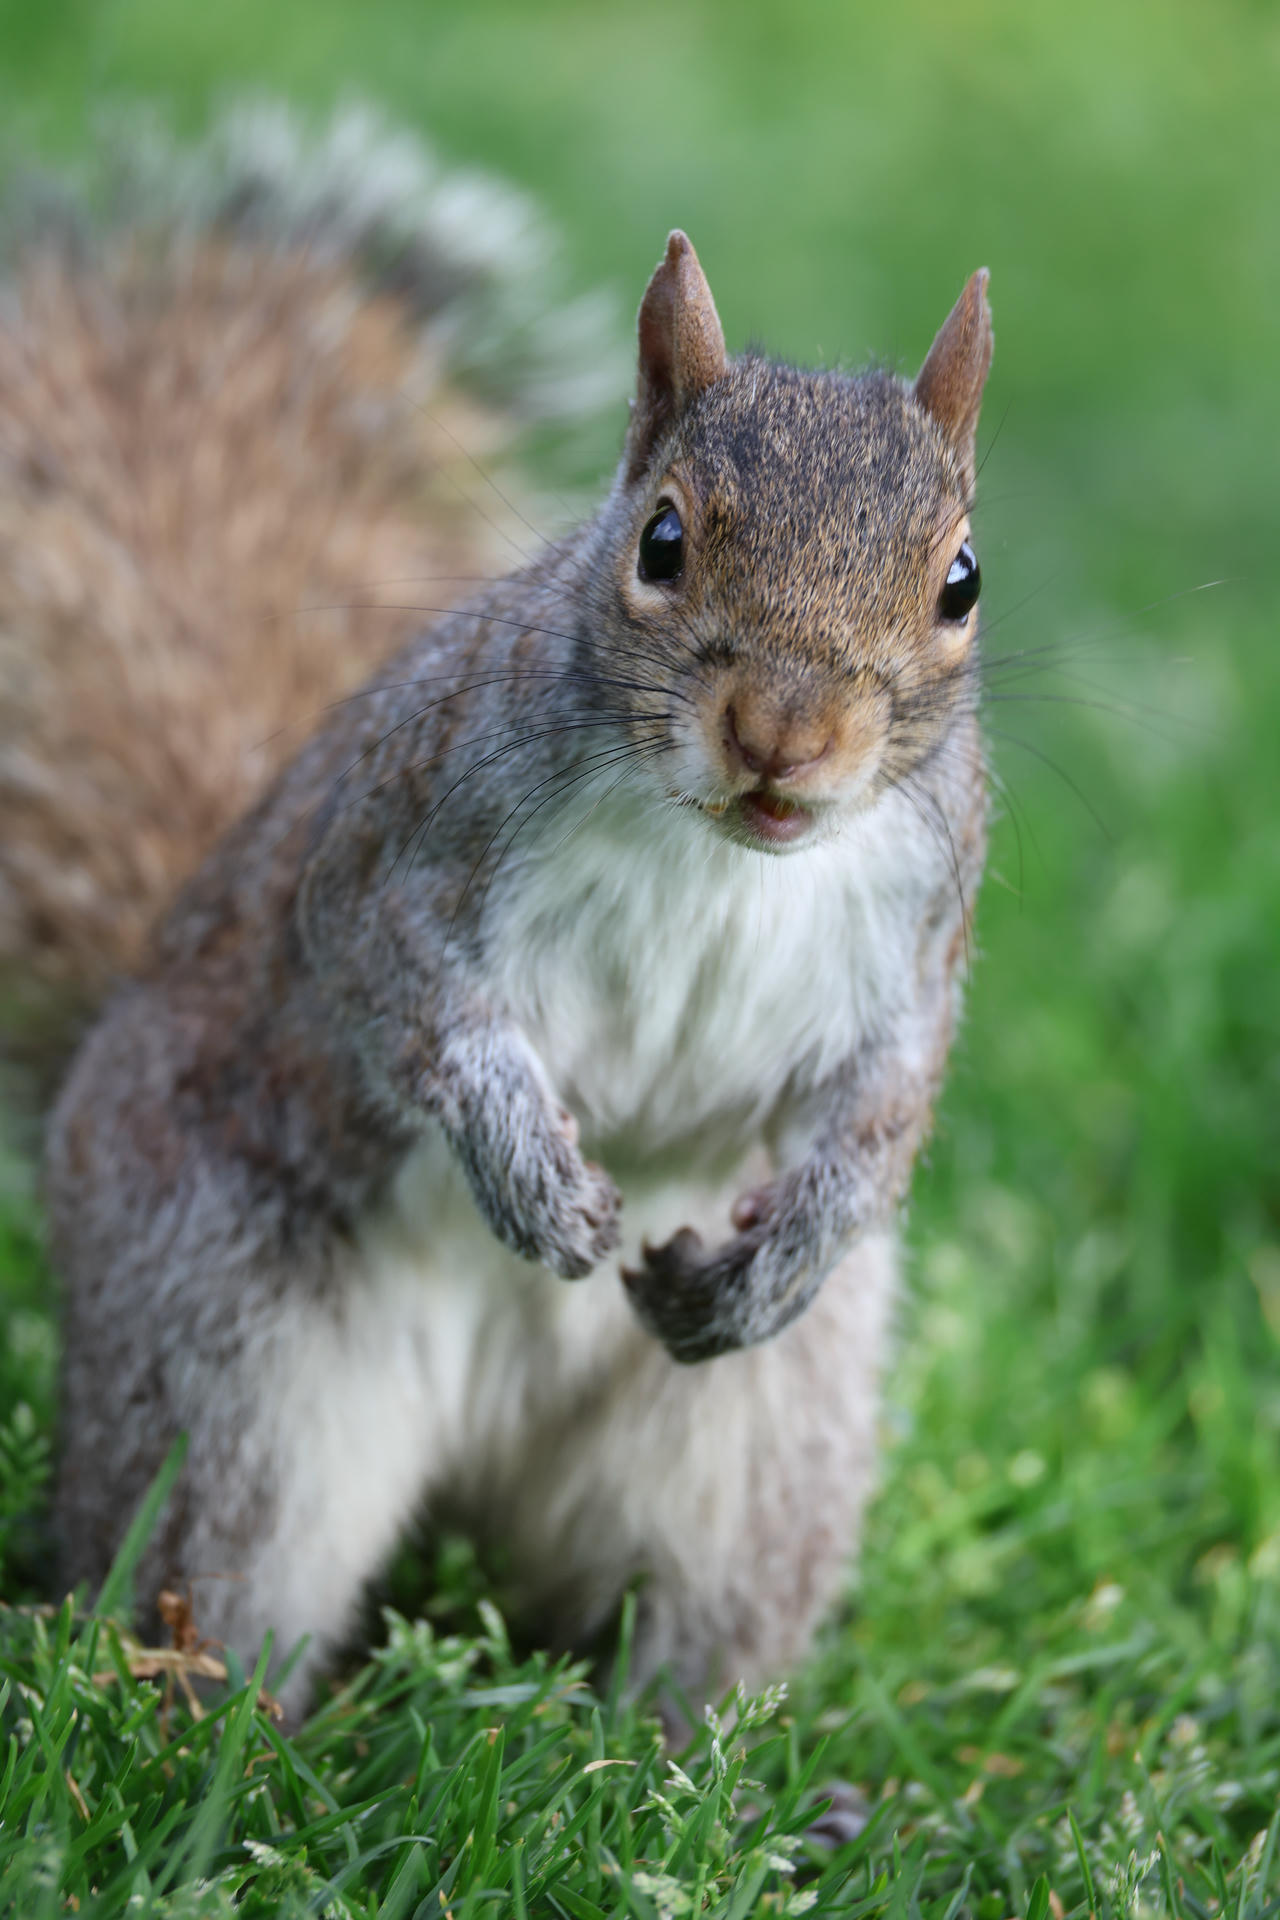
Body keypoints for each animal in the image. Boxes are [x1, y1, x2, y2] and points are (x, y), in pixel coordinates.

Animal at [0, 111, 992, 1717]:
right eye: (659, 541)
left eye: (960, 580)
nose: (783, 740)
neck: (725, 848)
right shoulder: (397, 848)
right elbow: (403, 999)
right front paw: (534, 1178)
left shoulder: (921, 938)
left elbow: (886, 1105)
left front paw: (791, 1251)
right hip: (228, 1359)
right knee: (203, 1562)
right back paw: (228, 1725)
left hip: (753, 1451)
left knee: (692, 1620)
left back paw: (702, 1753)